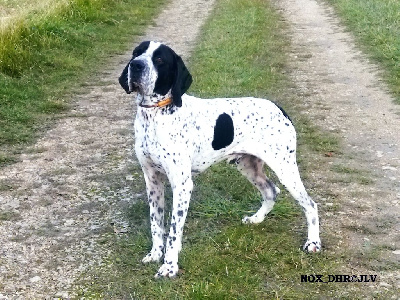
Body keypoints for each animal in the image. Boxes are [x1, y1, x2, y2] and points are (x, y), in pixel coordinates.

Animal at [117, 41, 320, 278]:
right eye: (136, 53)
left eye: (159, 60)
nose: (136, 65)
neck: (155, 116)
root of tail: (279, 108)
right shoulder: (152, 181)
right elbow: (156, 224)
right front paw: (155, 254)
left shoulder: (182, 185)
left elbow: (174, 231)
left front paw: (169, 266)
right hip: (248, 166)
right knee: (271, 190)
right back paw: (256, 219)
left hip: (284, 168)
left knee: (310, 205)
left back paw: (313, 242)